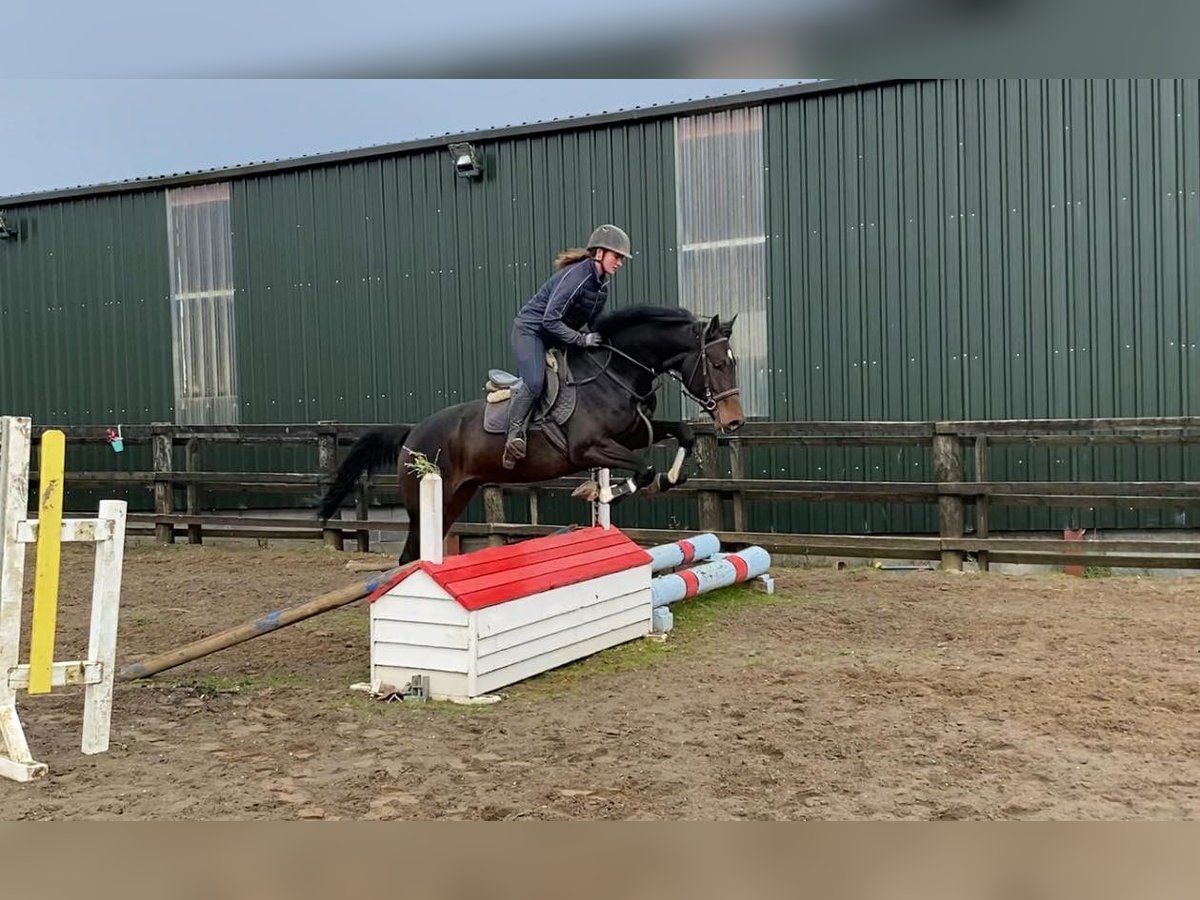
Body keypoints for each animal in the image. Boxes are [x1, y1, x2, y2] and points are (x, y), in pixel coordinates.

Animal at [324, 309, 744, 564]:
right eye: (716, 364)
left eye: (732, 362)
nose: (735, 422)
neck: (616, 373)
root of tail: (413, 433)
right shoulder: (590, 448)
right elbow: (642, 471)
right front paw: (602, 492)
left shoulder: (635, 433)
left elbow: (683, 435)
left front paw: (668, 479)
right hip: (424, 501)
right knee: (409, 557)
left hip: (454, 499)